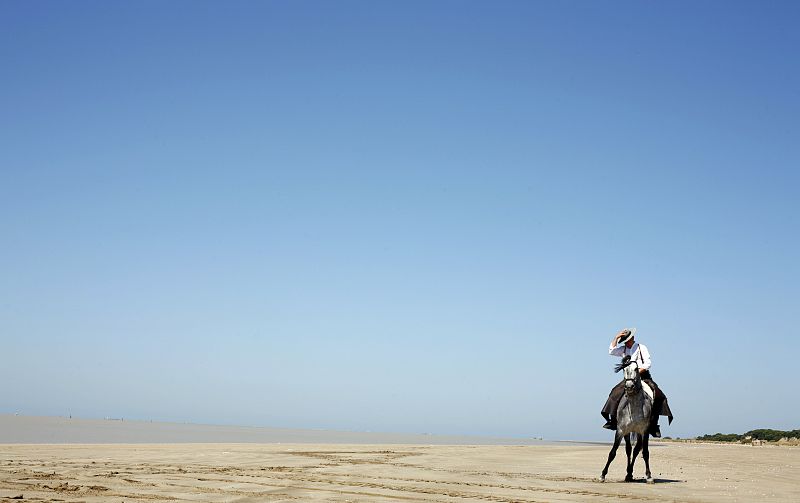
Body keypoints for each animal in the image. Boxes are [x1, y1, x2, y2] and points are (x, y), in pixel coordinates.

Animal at [604, 356, 652, 486]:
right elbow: (612, 452)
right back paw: (628, 474)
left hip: (638, 433)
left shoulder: (644, 431)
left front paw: (649, 476)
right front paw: (602, 474)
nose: (629, 387)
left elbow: (645, 453)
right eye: (624, 369)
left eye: (636, 369)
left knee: (636, 450)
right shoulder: (620, 430)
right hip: (627, 432)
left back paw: (630, 473)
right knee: (629, 449)